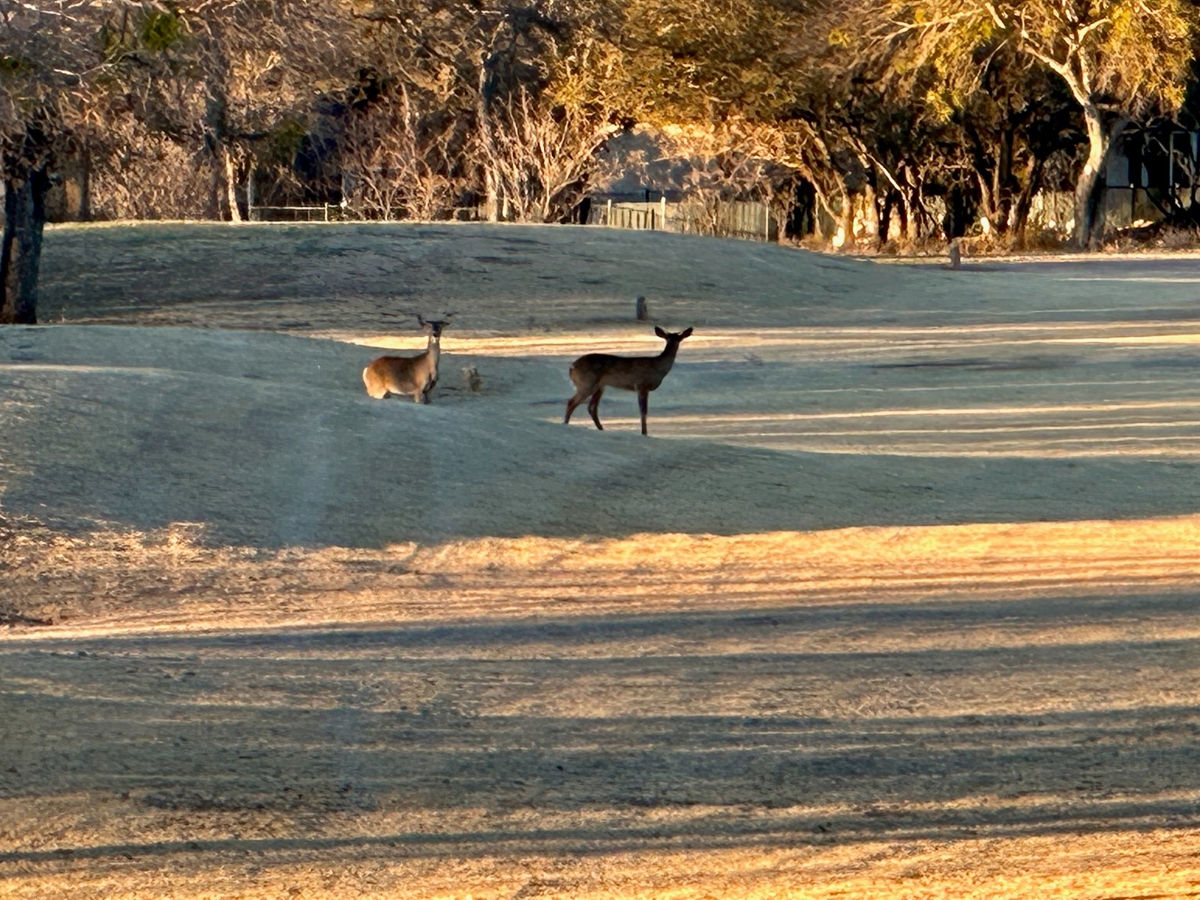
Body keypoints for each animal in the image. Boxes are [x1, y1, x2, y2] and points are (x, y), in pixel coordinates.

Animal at [564, 326, 694, 436]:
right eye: (672, 338)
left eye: (678, 338)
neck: (658, 367)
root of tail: (571, 367)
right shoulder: (642, 385)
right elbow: (643, 411)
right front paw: (644, 433)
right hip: (586, 383)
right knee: (572, 402)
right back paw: (565, 424)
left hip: (599, 386)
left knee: (591, 407)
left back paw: (601, 428)